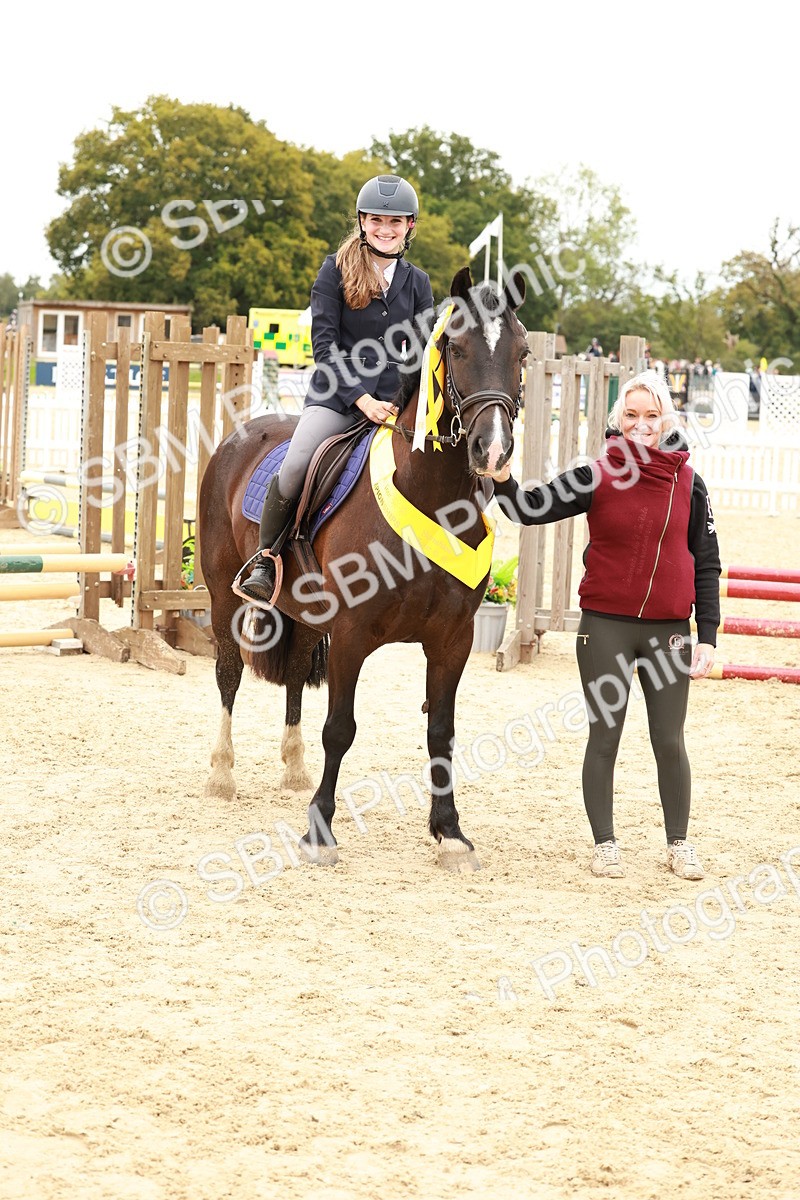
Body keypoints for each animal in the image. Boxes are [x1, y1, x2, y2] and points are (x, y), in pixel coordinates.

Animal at [198, 266, 528, 872]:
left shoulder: (453, 639)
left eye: (522, 352)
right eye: (457, 348)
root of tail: (240, 434)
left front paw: (450, 833)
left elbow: (441, 732)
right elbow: (341, 729)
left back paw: (293, 767)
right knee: (229, 675)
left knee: (296, 670)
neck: (431, 498)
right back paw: (222, 774)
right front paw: (319, 829)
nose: (492, 453)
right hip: (224, 596)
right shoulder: (352, 633)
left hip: (305, 611)